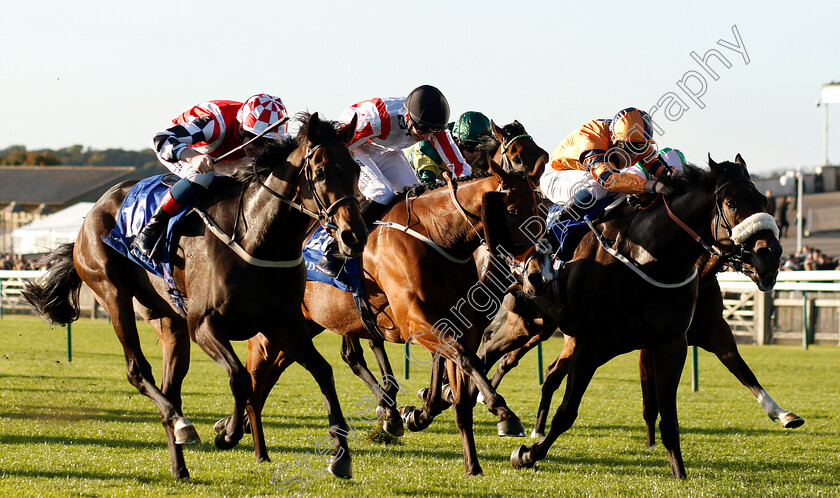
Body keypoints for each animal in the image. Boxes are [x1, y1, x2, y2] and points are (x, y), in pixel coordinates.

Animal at [19, 113, 366, 478]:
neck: (256, 237)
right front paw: (228, 433)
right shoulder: (203, 325)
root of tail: (93, 212)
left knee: (170, 388)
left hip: (167, 320)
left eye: (355, 170)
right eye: (321, 171)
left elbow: (323, 372)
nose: (354, 235)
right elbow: (241, 378)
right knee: (137, 370)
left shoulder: (284, 324)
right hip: (113, 293)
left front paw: (341, 455)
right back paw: (183, 424)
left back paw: (180, 465)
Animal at [502, 156, 784, 478]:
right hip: (527, 324)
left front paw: (679, 473)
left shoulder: (672, 343)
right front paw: (527, 455)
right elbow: (567, 412)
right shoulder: (592, 346)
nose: (771, 255)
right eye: (732, 202)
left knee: (545, 372)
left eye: (763, 200)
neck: (649, 259)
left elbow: (671, 415)